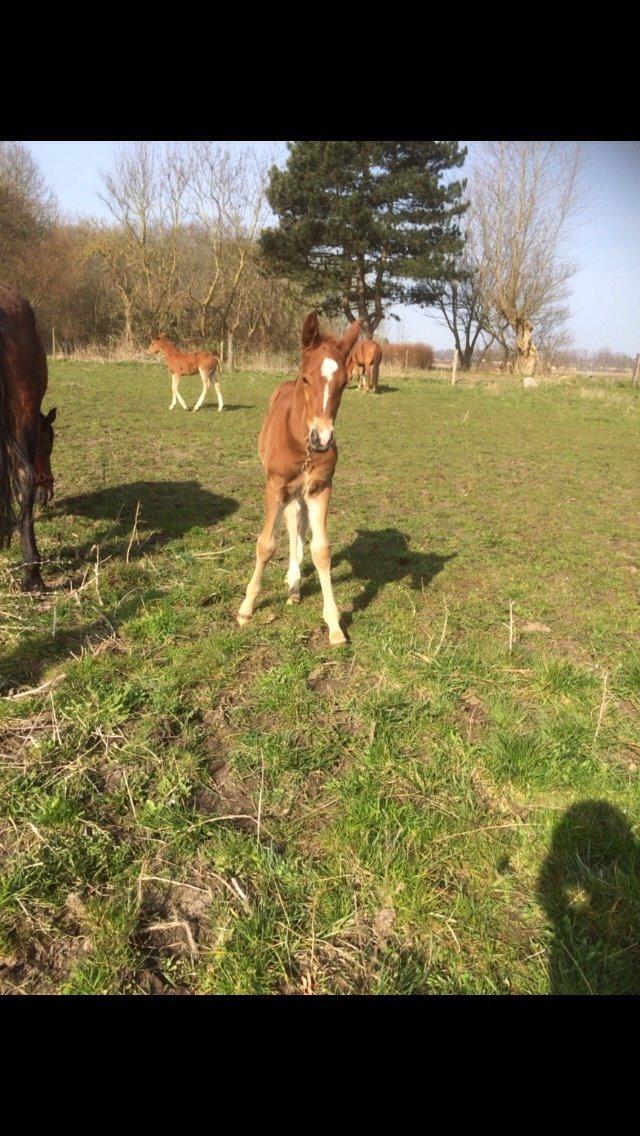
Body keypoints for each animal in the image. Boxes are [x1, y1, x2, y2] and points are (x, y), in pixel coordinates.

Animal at [238, 311, 361, 649]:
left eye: (345, 383)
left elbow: (321, 551)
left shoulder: (320, 489)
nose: (323, 439)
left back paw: (294, 585)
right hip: (288, 491)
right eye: (306, 378)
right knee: (292, 523)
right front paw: (247, 607)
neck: (300, 444)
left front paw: (334, 625)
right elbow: (266, 544)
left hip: (301, 493)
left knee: (297, 525)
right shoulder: (275, 487)